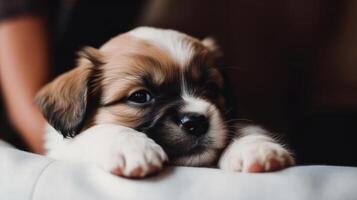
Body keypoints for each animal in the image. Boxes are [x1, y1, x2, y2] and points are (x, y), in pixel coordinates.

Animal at [35, 27, 292, 178]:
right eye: (140, 96)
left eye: (210, 88)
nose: (197, 122)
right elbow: (101, 131)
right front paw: (132, 147)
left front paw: (255, 148)